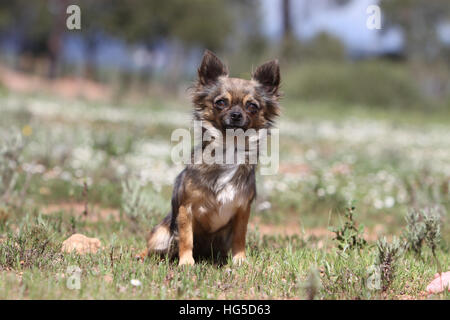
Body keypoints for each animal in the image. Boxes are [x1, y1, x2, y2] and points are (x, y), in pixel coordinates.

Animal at [148, 50, 282, 264]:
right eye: (221, 102)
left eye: (252, 106)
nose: (236, 114)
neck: (229, 149)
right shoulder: (185, 209)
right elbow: (186, 237)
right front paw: (186, 262)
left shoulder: (242, 210)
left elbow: (240, 236)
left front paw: (239, 260)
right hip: (161, 234)